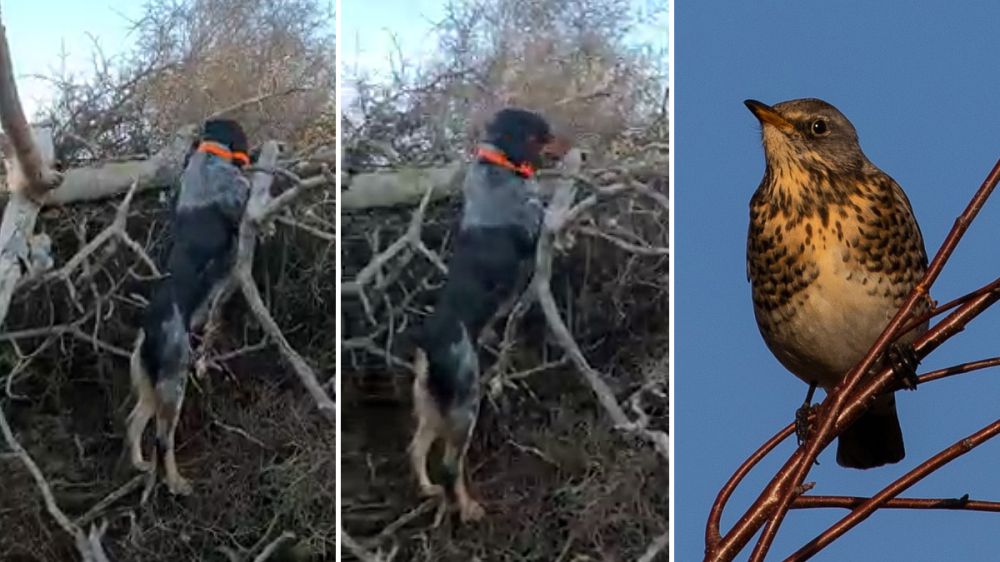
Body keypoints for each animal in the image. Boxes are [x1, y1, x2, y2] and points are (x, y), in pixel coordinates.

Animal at [124, 118, 250, 494]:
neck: (209, 156)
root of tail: (150, 330)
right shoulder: (239, 193)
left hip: (151, 387)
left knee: (134, 423)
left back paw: (140, 463)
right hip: (173, 384)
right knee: (163, 440)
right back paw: (176, 482)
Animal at [408, 107, 572, 520]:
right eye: (544, 131)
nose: (571, 143)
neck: (497, 165)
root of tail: (428, 341)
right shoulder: (535, 223)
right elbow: (552, 221)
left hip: (430, 406)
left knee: (417, 450)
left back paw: (428, 489)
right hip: (465, 402)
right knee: (451, 464)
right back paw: (468, 508)